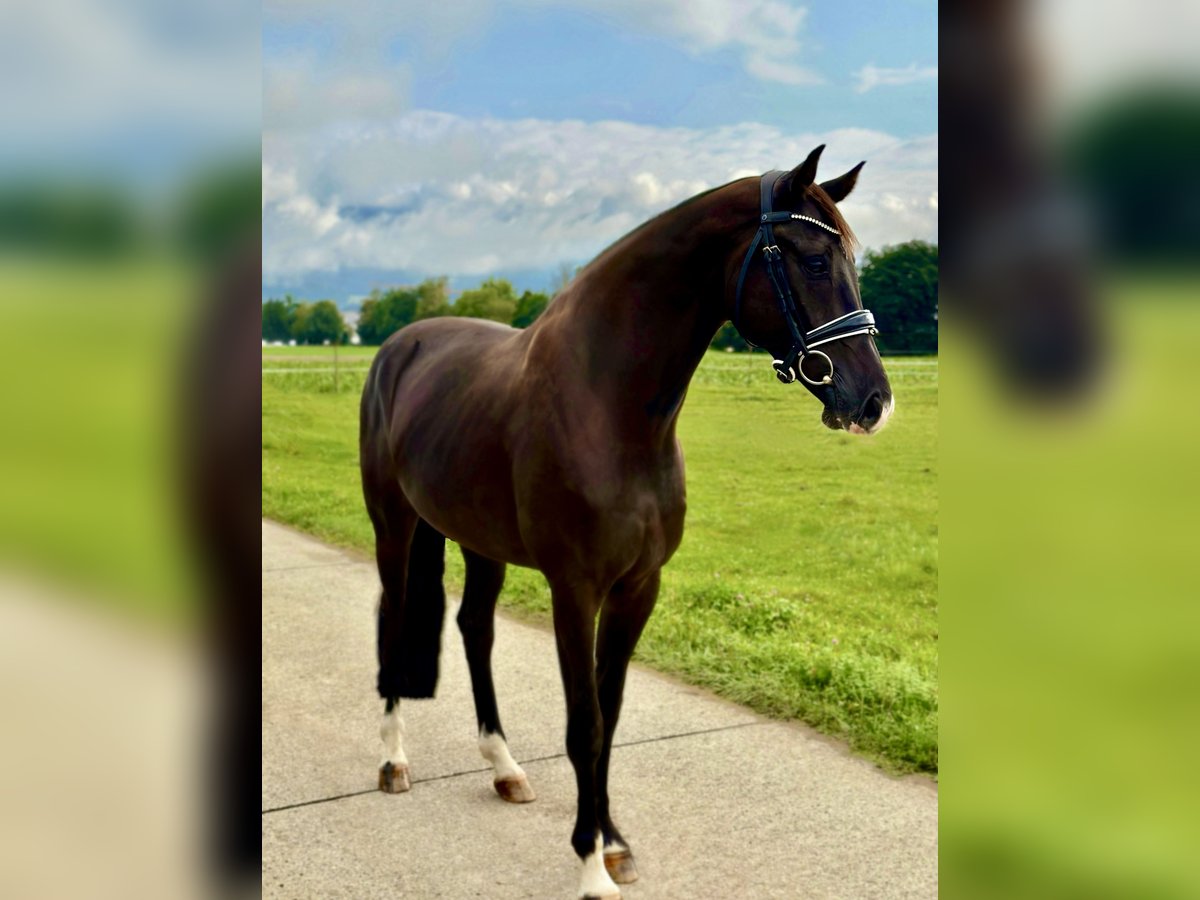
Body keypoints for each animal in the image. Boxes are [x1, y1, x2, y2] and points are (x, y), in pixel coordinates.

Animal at [359, 144, 893, 899]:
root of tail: (399, 345)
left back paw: (504, 767)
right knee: (393, 615)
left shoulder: (639, 588)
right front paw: (590, 865)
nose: (873, 400)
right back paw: (393, 762)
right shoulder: (574, 589)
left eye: (850, 256)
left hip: (478, 541)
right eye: (814, 259)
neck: (606, 406)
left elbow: (608, 718)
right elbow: (583, 724)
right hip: (394, 525)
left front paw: (613, 844)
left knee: (473, 630)